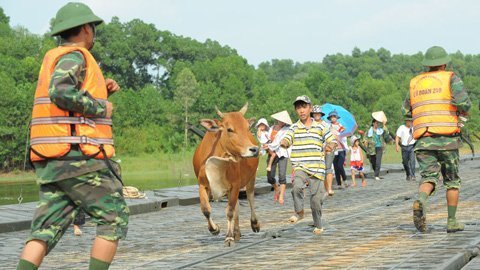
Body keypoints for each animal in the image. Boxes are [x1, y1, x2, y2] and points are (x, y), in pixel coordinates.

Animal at [192, 103, 260, 247]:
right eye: (229, 129)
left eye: (247, 127)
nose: (254, 149)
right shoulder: (202, 185)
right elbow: (205, 209)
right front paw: (215, 229)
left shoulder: (235, 185)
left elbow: (229, 212)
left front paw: (229, 237)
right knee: (237, 207)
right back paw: (237, 232)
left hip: (251, 178)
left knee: (250, 198)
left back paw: (254, 224)